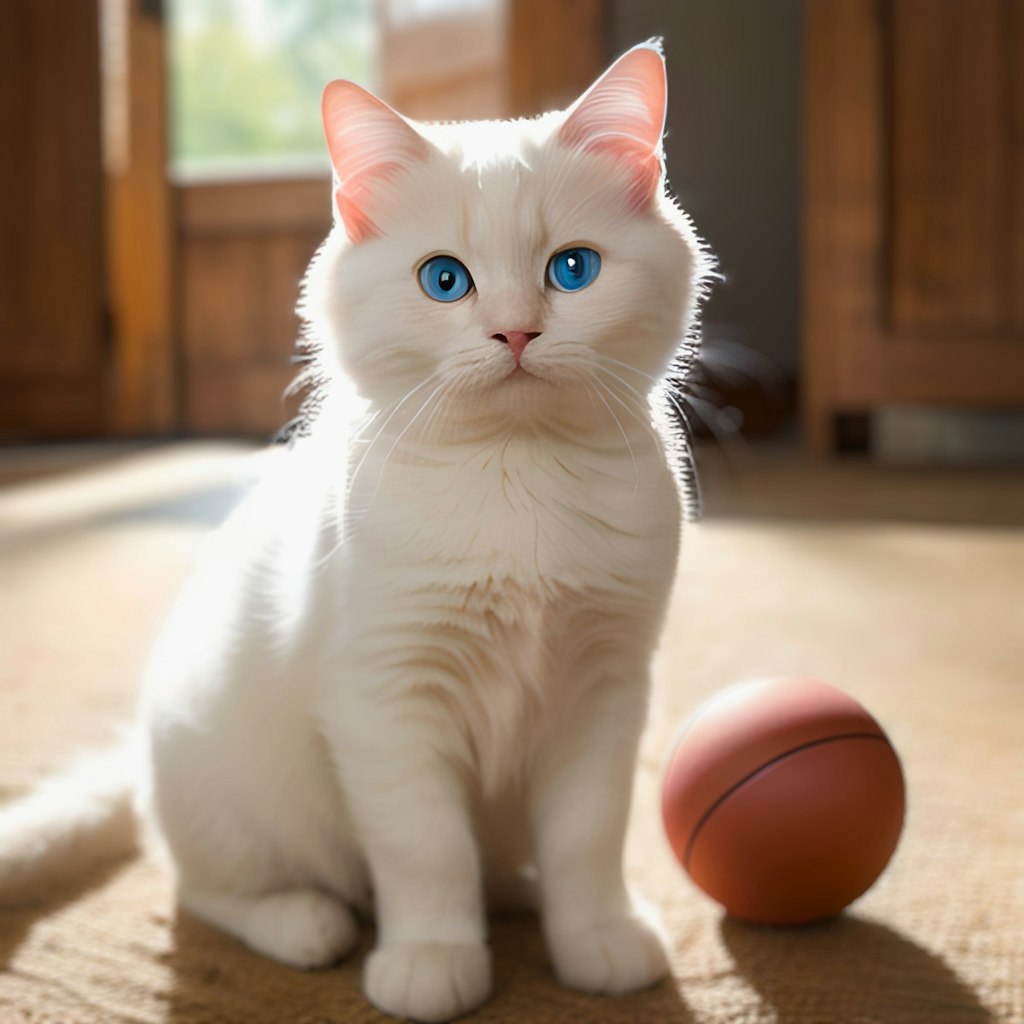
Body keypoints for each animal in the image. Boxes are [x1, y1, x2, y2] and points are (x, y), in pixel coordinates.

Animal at [0, 41, 708, 1024]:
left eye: (573, 270)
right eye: (444, 280)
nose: (516, 332)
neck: (514, 478)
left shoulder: (605, 692)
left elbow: (586, 837)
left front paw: (595, 939)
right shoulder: (388, 700)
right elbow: (426, 850)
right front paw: (432, 960)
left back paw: (515, 890)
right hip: (231, 795)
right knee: (206, 890)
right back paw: (307, 923)